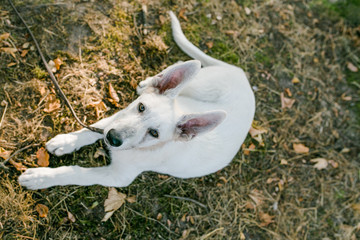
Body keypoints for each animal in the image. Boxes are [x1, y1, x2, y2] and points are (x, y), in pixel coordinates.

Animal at [19, 11, 256, 190]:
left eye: (154, 133)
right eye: (141, 107)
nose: (113, 138)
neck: (139, 148)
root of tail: (240, 74)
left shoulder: (117, 177)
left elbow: (76, 172)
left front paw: (41, 177)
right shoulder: (121, 114)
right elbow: (92, 129)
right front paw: (66, 141)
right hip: (198, 83)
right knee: (180, 68)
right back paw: (151, 81)